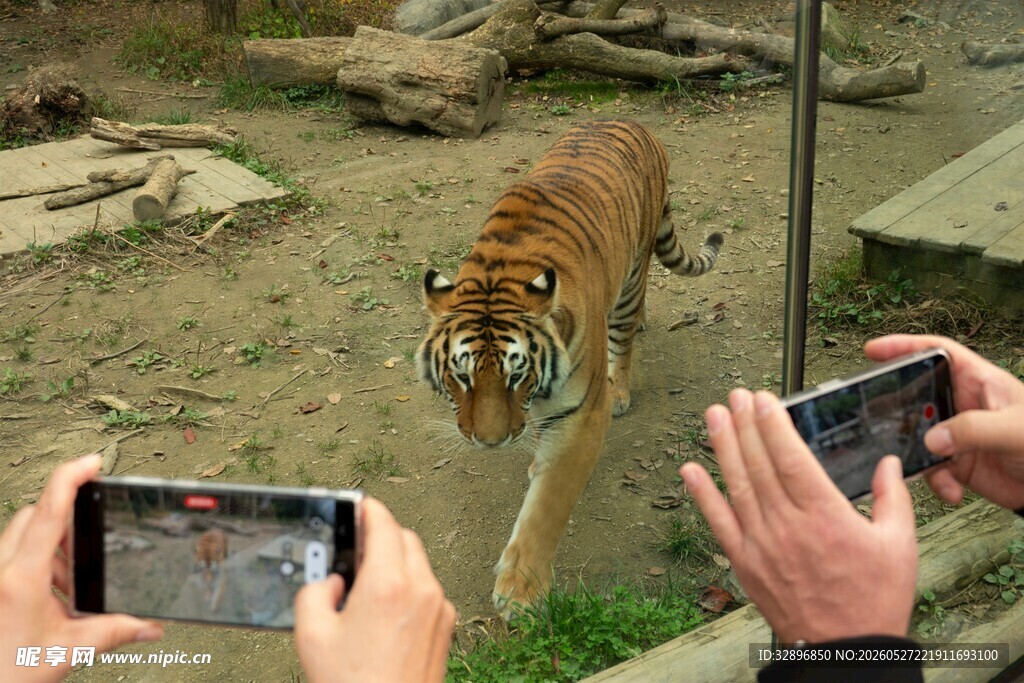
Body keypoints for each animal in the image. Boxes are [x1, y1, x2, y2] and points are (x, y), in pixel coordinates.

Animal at [418, 119, 722, 617]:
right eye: (461, 377)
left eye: (515, 375)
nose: (489, 443)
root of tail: (634, 123)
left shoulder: (581, 415)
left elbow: (547, 506)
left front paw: (520, 593)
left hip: (630, 279)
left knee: (624, 333)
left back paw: (621, 386)